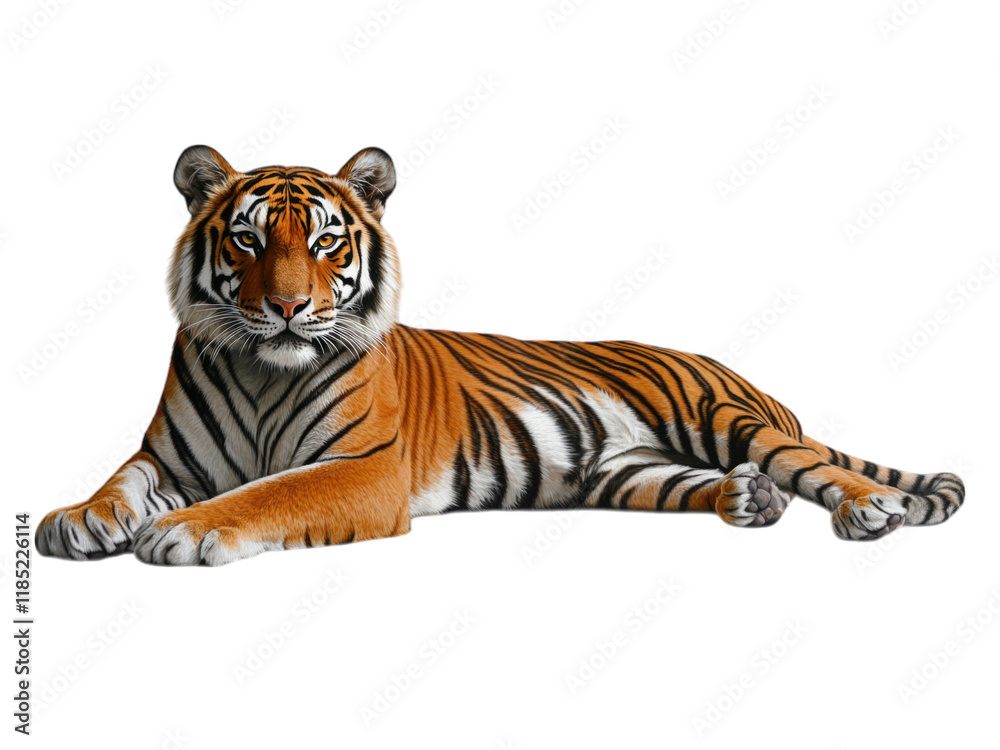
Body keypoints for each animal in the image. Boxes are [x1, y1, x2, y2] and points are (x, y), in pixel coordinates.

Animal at [35, 145, 965, 566]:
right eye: (249, 239)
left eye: (328, 242)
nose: (289, 307)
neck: (267, 371)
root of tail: (744, 376)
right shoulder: (168, 456)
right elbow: (121, 481)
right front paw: (76, 519)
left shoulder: (362, 469)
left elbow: (269, 493)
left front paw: (181, 531)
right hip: (628, 473)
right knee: (713, 483)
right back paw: (750, 502)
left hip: (727, 419)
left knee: (816, 465)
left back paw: (870, 510)